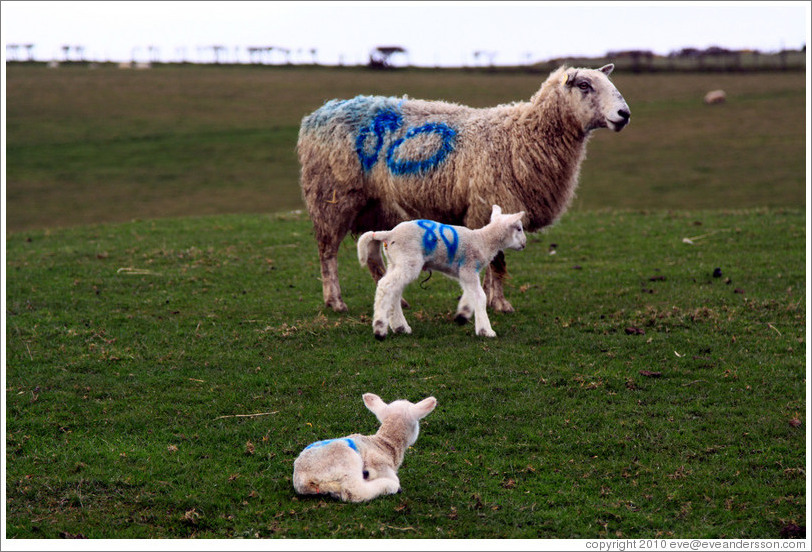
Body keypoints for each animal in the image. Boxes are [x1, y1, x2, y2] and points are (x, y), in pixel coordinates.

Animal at [292, 392, 438, 504]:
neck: (385, 444)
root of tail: (302, 479)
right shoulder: (379, 464)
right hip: (347, 459)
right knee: (355, 491)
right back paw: (389, 487)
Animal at [300, 62, 636, 312]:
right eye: (584, 85)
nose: (625, 114)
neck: (522, 135)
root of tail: (318, 113)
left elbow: (492, 259)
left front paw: (489, 298)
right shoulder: (490, 204)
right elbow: (497, 261)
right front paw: (500, 304)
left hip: (375, 206)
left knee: (371, 257)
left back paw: (399, 301)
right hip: (332, 197)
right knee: (327, 252)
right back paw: (335, 302)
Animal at [356, 205, 528, 338]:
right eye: (519, 229)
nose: (524, 244)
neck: (483, 240)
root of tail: (388, 234)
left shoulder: (466, 273)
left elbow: (470, 294)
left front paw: (463, 315)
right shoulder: (469, 267)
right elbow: (480, 296)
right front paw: (486, 330)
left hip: (396, 262)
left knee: (394, 291)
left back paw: (400, 327)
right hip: (409, 260)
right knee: (385, 286)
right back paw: (380, 329)